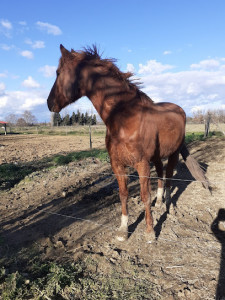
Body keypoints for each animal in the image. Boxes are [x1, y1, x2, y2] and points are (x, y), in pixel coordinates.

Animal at [46, 45, 208, 241]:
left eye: (58, 72)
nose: (49, 103)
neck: (125, 119)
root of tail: (180, 110)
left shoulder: (142, 164)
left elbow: (145, 196)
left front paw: (150, 232)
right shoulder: (117, 164)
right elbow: (123, 194)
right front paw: (123, 229)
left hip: (173, 153)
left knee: (168, 176)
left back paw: (168, 204)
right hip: (157, 157)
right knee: (161, 174)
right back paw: (160, 202)